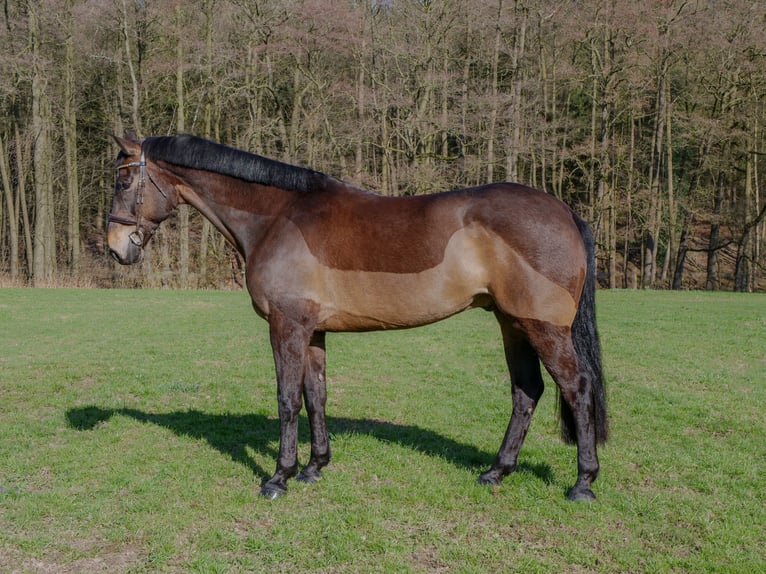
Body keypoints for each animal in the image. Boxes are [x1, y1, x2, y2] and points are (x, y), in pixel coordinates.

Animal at [107, 133, 608, 501]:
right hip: (511, 324)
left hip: (542, 328)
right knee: (526, 392)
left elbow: (287, 399)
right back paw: (496, 472)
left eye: (122, 181)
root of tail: (565, 212)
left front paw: (279, 477)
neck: (276, 216)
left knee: (577, 387)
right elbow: (316, 396)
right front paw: (314, 467)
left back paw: (582, 483)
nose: (115, 247)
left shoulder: (286, 326)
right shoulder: (312, 331)